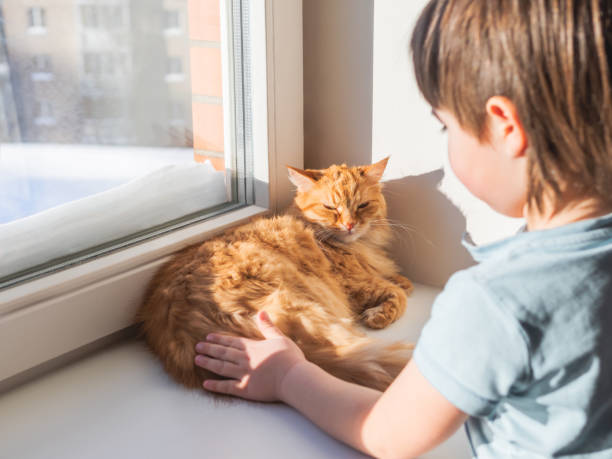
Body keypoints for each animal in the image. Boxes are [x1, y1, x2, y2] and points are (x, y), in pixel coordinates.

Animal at [137, 157, 416, 392]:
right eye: (329, 207)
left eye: (362, 205)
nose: (350, 225)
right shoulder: (352, 283)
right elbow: (396, 294)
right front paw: (378, 314)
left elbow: (397, 281)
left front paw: (399, 280)